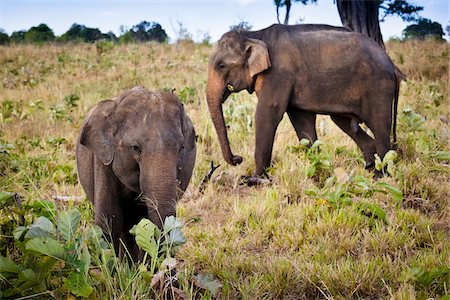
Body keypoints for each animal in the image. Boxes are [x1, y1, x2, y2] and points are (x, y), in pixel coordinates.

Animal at [206, 24, 400, 178]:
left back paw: (380, 175)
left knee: (379, 125)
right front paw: (317, 171)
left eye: (221, 66)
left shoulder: (278, 74)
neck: (253, 34)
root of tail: (391, 62)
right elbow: (301, 119)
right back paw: (369, 166)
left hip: (378, 87)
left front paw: (254, 179)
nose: (238, 158)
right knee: (342, 121)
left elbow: (267, 113)